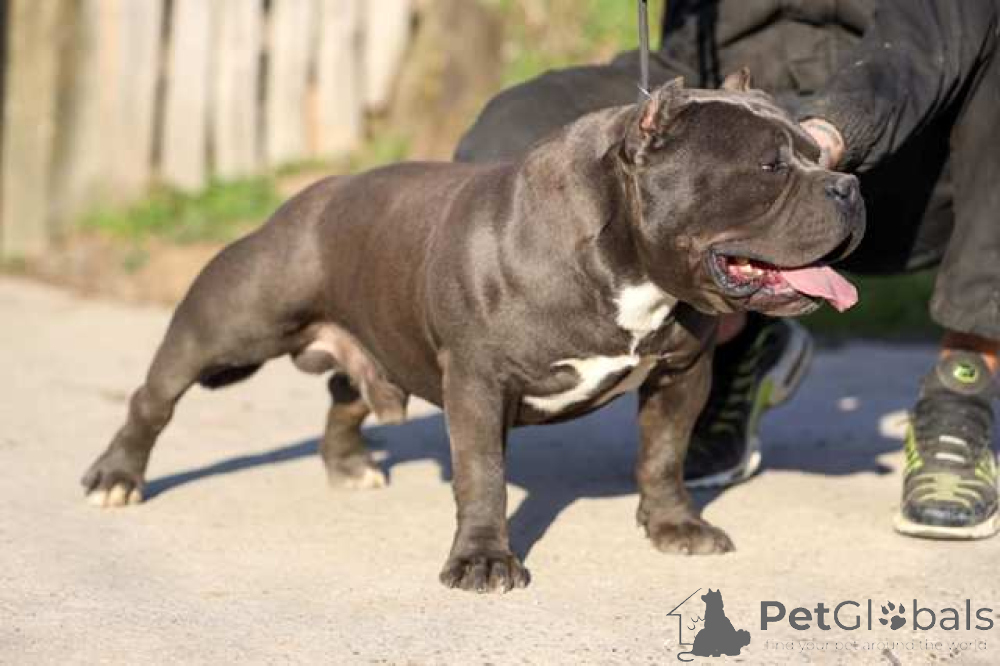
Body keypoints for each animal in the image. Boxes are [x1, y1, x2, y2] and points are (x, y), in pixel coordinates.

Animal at [82, 70, 864, 593]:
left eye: (820, 154)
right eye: (769, 166)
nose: (850, 187)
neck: (625, 262)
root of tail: (308, 197)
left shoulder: (681, 377)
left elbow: (663, 457)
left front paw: (674, 527)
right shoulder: (480, 385)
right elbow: (483, 475)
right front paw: (483, 560)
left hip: (375, 341)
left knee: (344, 392)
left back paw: (349, 464)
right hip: (229, 323)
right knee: (155, 396)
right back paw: (117, 477)